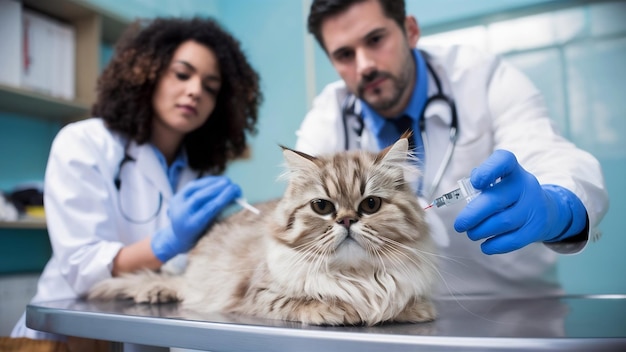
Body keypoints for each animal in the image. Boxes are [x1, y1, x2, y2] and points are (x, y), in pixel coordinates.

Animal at [90, 136, 436, 326]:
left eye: (371, 205)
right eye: (322, 207)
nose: (348, 221)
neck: (356, 277)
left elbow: (400, 301)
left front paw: (415, 310)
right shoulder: (258, 294)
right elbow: (300, 303)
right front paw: (336, 309)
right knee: (176, 285)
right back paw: (156, 291)